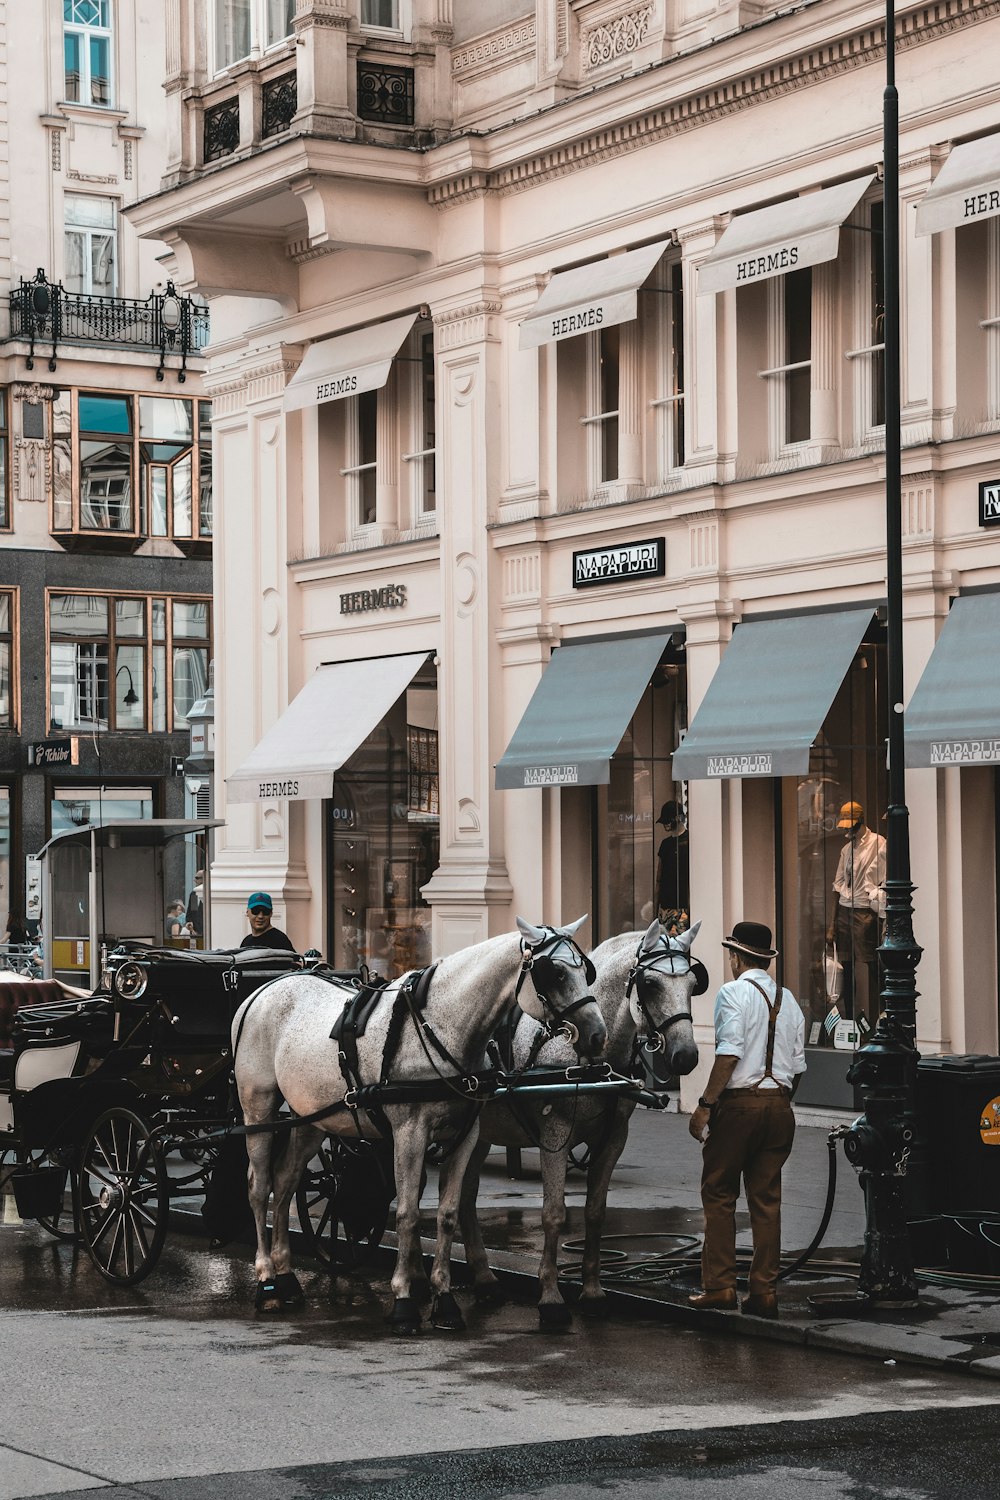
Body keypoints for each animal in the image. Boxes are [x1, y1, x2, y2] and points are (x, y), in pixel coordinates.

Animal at [235, 918, 611, 1332]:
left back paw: (287, 1278)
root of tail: (266, 988)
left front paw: (444, 1300)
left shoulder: (465, 1136)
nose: (598, 1035)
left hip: (311, 1117)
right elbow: (407, 1213)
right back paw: (267, 1282)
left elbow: (447, 1214)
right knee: (259, 1187)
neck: (442, 1027)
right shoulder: (409, 1133)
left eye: (586, 971)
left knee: (285, 1182)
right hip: (258, 1107)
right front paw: (403, 1299)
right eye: (556, 973)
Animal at [458, 918, 704, 1332]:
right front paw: (551, 1298)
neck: (590, 1059)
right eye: (651, 984)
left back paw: (484, 1279)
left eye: (691, 983)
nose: (685, 1056)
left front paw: (592, 1292)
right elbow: (553, 1214)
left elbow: (595, 1212)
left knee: (465, 1194)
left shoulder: (614, 1137)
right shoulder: (555, 1134)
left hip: (477, 1136)